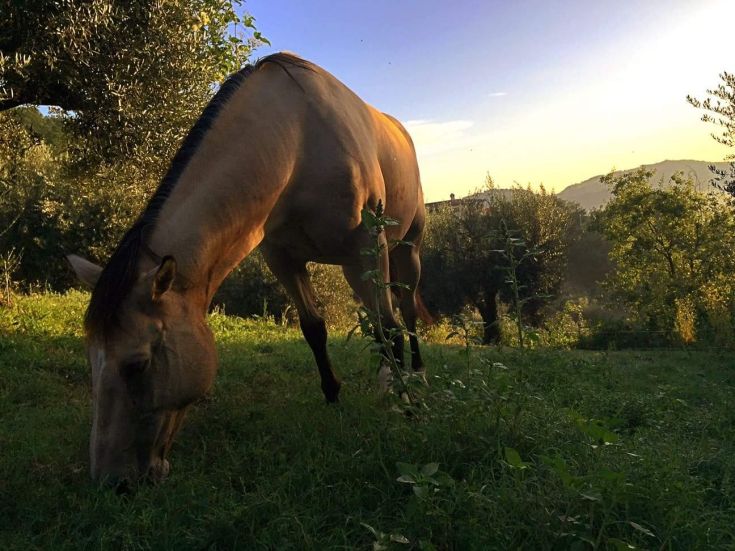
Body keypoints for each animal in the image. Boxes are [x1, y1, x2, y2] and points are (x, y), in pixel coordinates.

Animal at [67, 53, 429, 486]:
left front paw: (405, 406)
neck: (298, 142)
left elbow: (390, 328)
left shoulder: (366, 250)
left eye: (136, 365)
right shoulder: (283, 258)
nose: (112, 482)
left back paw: (416, 377)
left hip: (402, 251)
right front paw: (333, 395)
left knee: (403, 314)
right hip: (353, 269)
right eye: (90, 359)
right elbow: (315, 328)